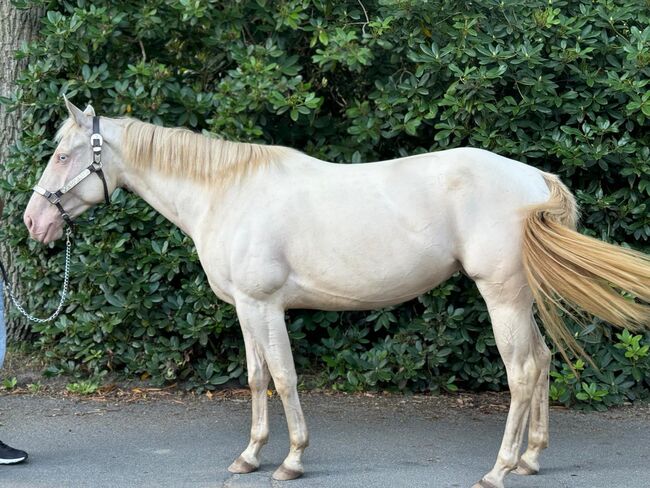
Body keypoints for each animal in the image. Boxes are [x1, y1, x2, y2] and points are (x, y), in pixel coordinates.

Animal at [21, 99, 648, 488]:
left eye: (61, 154)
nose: (33, 222)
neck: (227, 193)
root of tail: (532, 178)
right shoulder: (246, 309)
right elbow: (257, 379)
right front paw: (250, 455)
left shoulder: (266, 306)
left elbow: (284, 378)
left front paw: (292, 460)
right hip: (519, 299)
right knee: (541, 363)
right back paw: (531, 460)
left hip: (503, 296)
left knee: (521, 371)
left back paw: (498, 468)